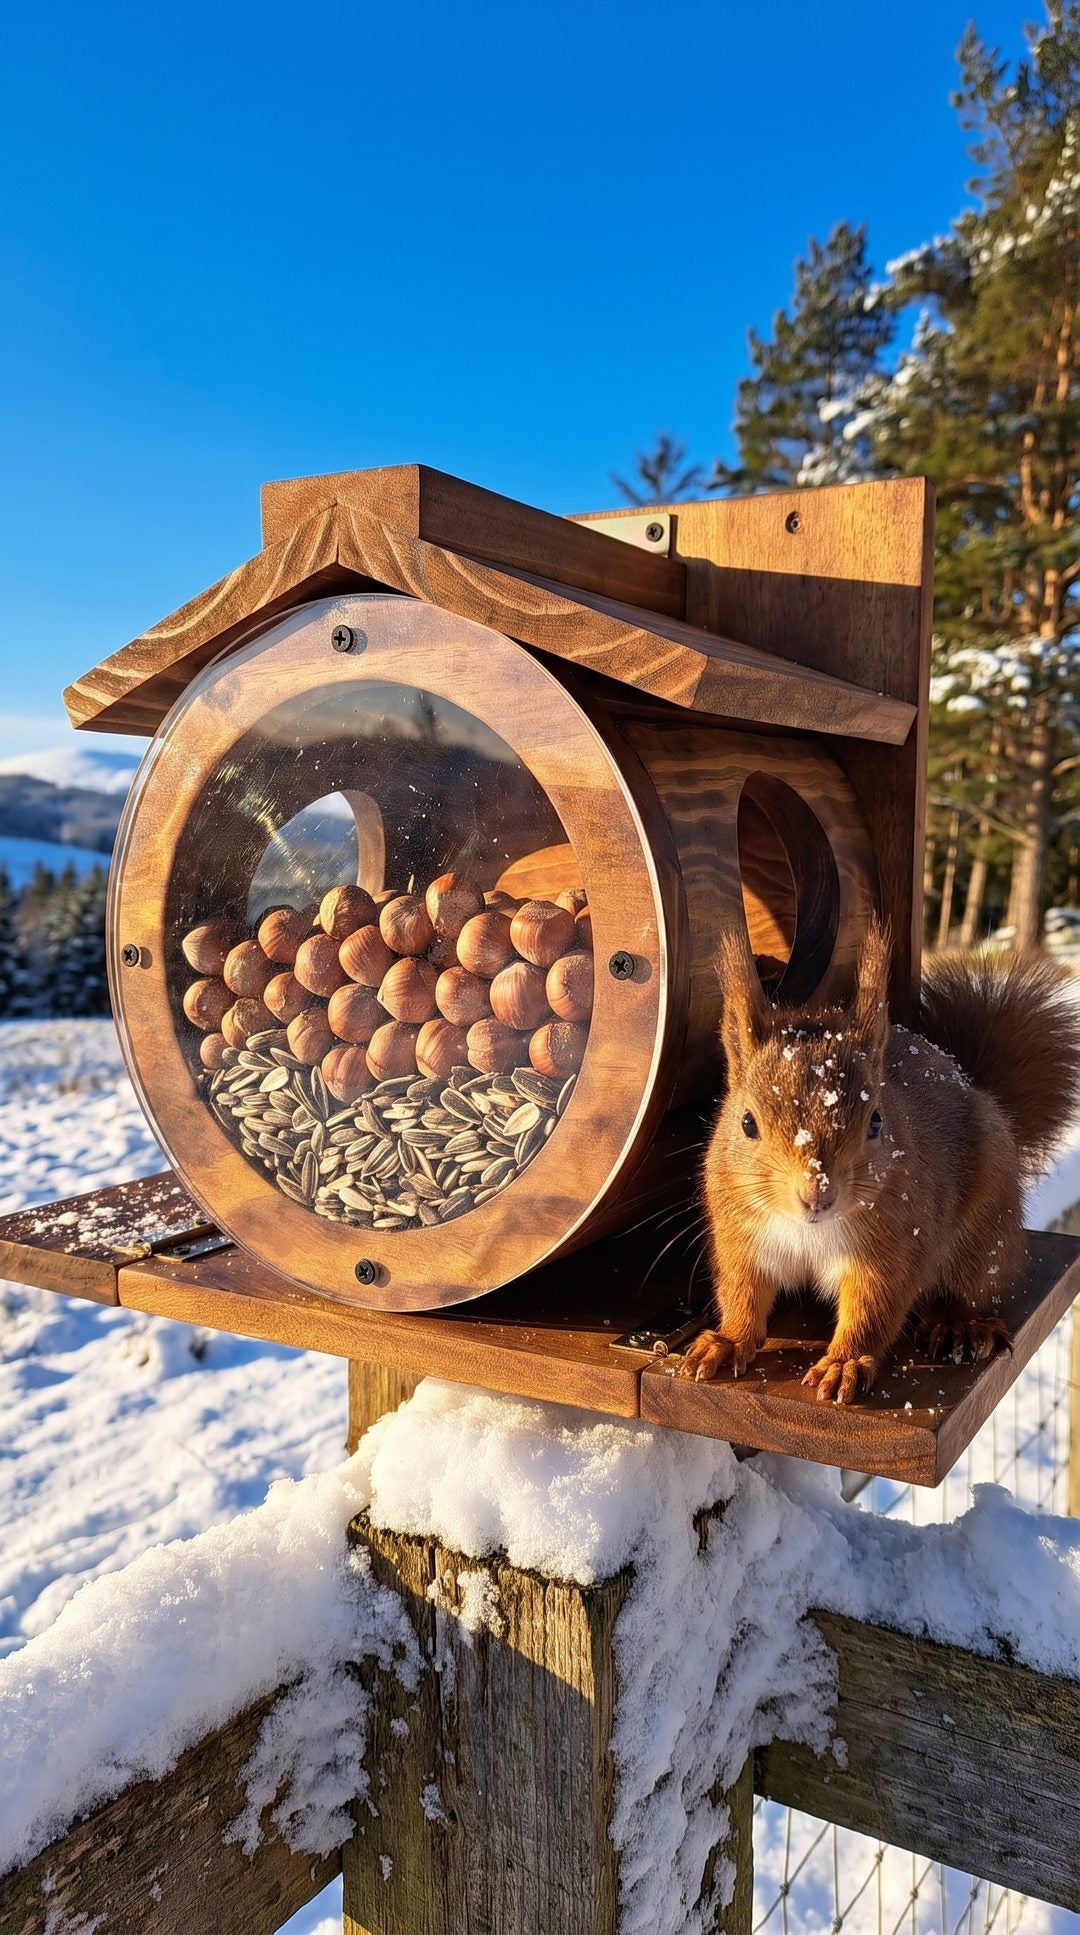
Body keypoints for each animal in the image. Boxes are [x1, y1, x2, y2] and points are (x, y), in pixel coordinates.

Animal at [682, 919, 1080, 1404]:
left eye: (876, 1121)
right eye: (746, 1123)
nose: (817, 1197)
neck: (808, 1230)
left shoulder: (893, 1246)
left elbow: (874, 1308)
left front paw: (845, 1363)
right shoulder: (742, 1236)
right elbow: (742, 1291)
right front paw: (727, 1341)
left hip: (984, 1231)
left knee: (969, 1287)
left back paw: (959, 1325)